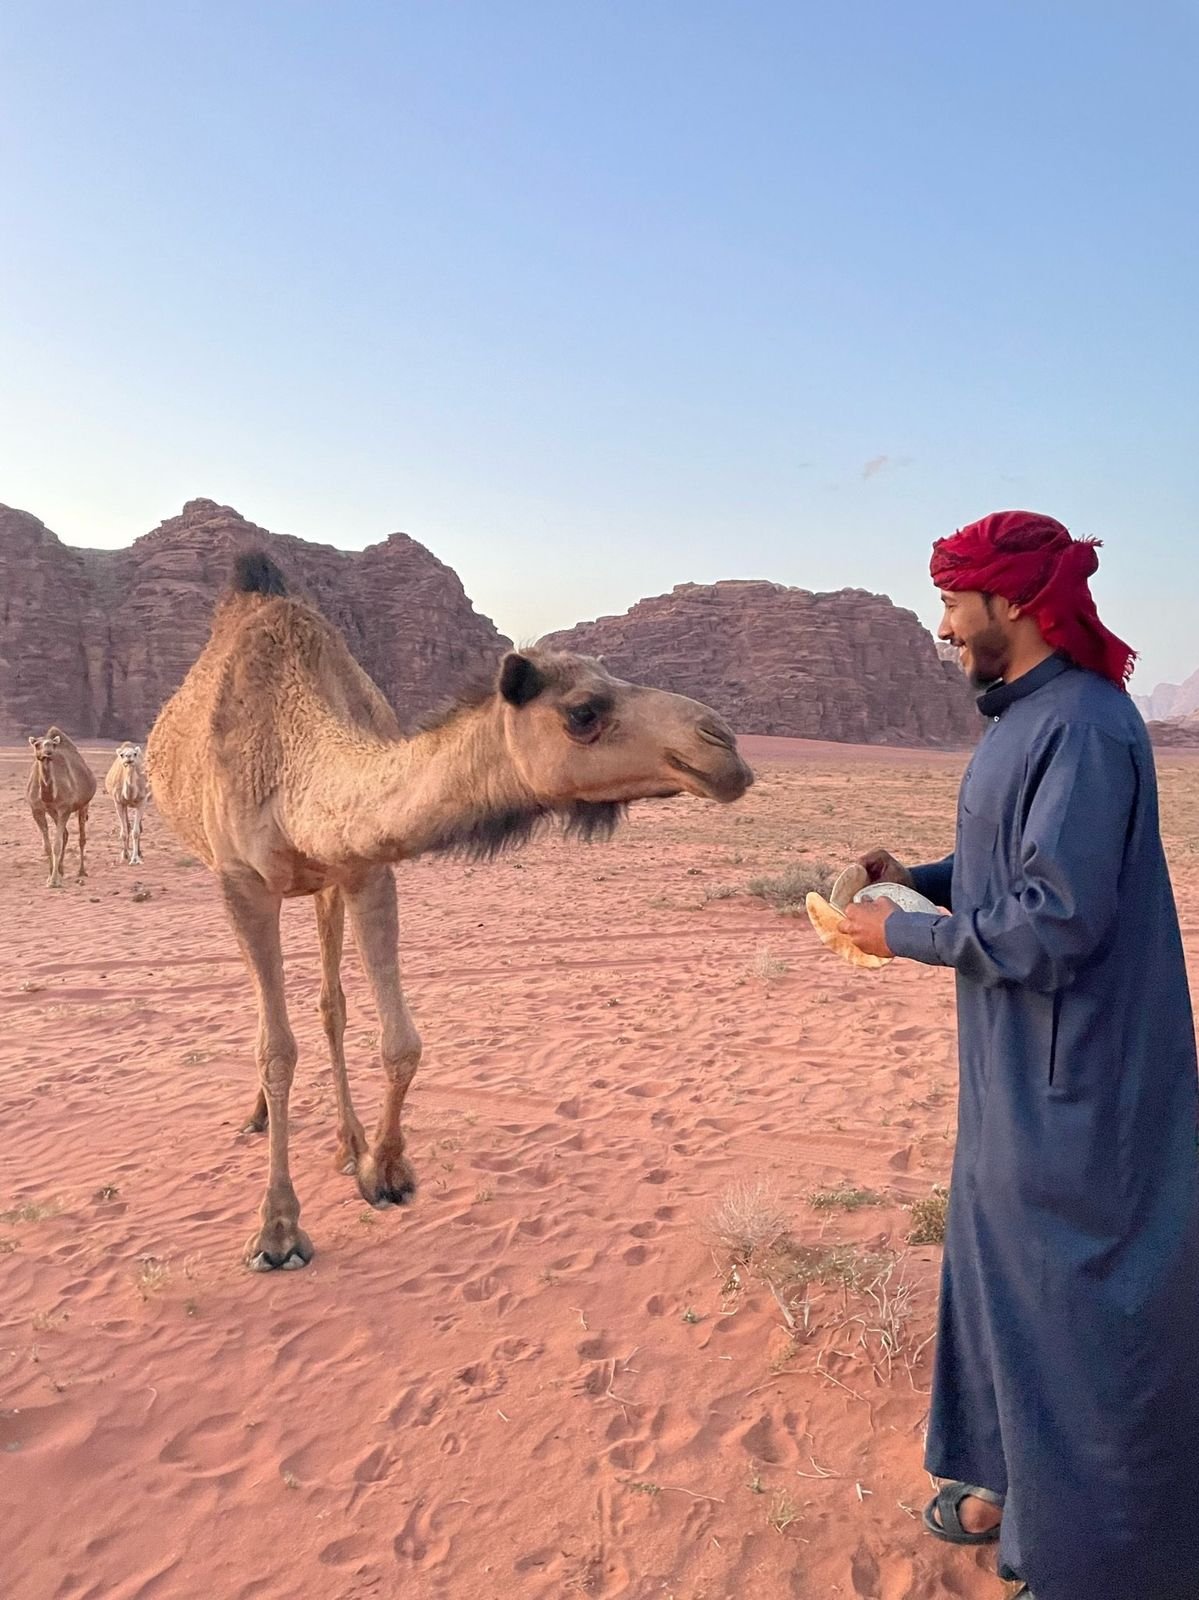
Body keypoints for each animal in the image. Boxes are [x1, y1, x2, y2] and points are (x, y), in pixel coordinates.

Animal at [26, 728, 98, 888]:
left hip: (83, 805)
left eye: (52, 744)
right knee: (65, 834)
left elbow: (56, 845)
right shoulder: (37, 810)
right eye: (37, 744)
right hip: (53, 812)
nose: (48, 752)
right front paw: (51, 876)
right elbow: (47, 846)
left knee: (81, 837)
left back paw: (81, 871)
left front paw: (54, 881)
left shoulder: (64, 808)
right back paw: (61, 870)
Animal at [147, 552, 753, 1271]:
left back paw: (347, 1140)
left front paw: (383, 1171)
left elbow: (400, 1040)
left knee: (330, 1005)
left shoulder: (364, 868)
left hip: (323, 885)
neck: (295, 766)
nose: (722, 745)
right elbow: (276, 1050)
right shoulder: (241, 881)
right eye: (582, 711)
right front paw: (277, 1232)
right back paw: (261, 1117)